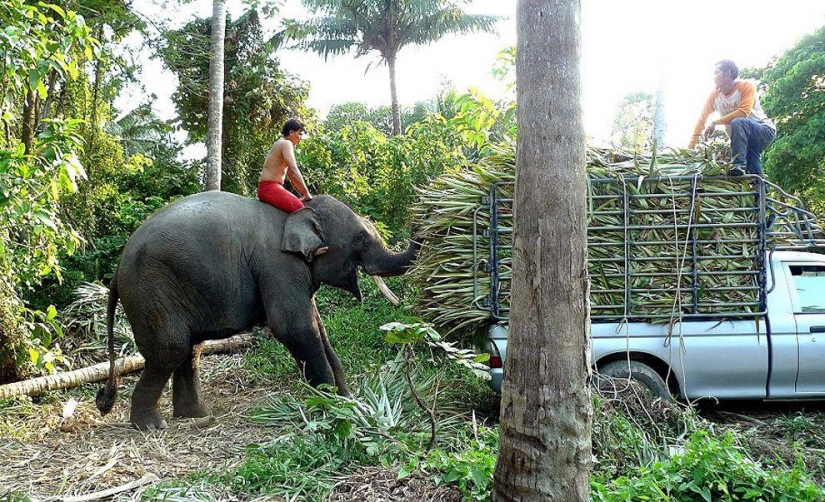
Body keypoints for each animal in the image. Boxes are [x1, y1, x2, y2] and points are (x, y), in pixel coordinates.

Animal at [95, 191, 418, 430]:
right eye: (361, 238)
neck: (300, 211)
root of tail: (117, 270)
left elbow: (316, 326)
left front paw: (348, 399)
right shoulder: (279, 265)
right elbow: (292, 327)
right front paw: (331, 406)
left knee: (190, 349)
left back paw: (197, 417)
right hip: (150, 290)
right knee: (171, 350)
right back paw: (151, 427)